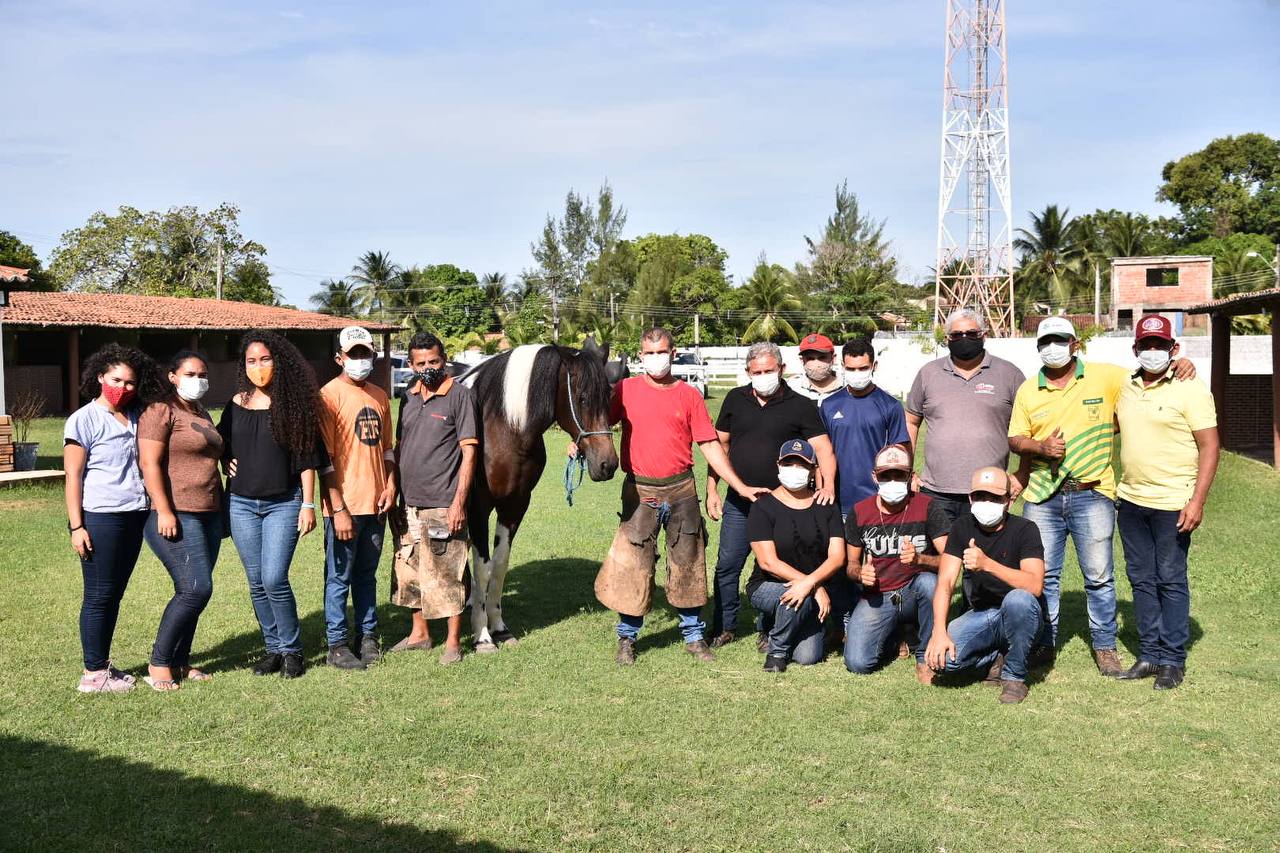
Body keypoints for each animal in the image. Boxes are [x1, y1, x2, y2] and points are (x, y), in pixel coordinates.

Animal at [458, 338, 622, 645]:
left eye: (609, 396)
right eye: (582, 398)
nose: (607, 465)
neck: (504, 429)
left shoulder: (515, 504)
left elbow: (499, 565)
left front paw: (499, 626)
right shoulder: (478, 507)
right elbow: (483, 567)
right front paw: (483, 635)